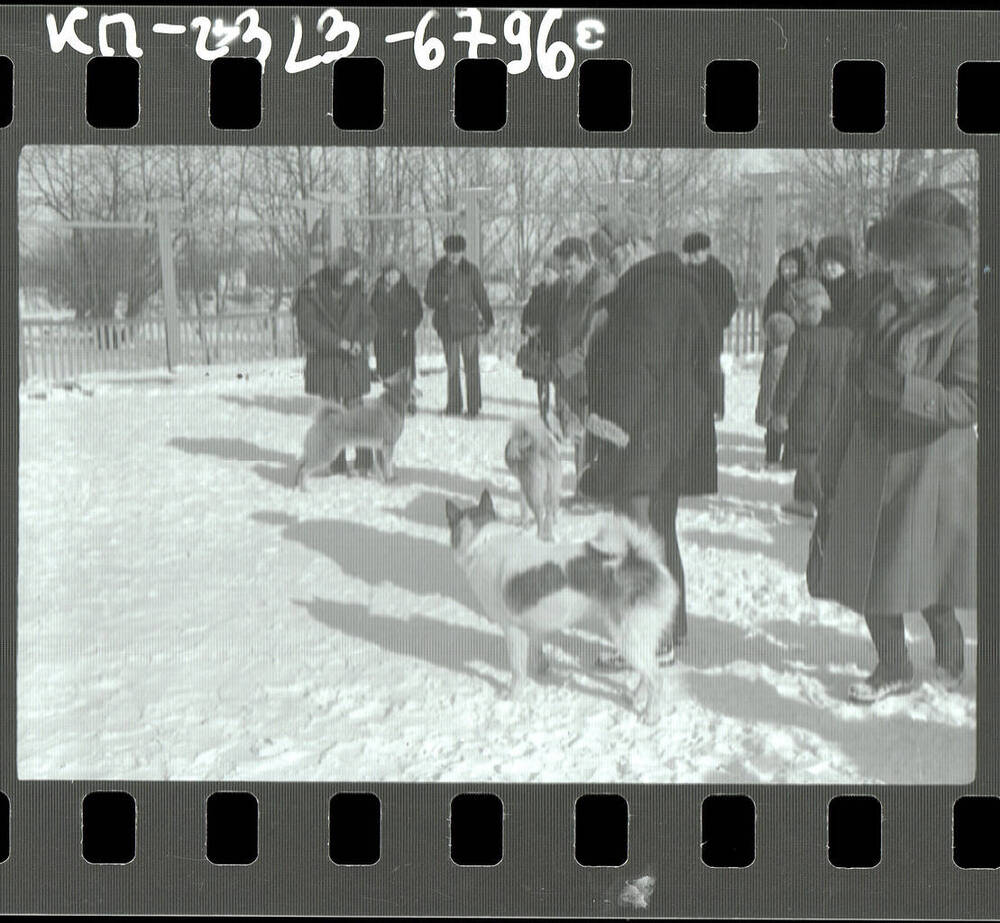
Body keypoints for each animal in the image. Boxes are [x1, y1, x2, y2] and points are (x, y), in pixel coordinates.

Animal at [446, 488, 680, 724]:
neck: (483, 540)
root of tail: (641, 560)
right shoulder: (532, 625)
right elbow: (537, 650)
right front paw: (541, 668)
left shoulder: (512, 629)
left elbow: (517, 670)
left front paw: (513, 695)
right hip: (640, 638)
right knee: (648, 672)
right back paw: (635, 695)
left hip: (627, 637)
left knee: (656, 678)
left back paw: (650, 714)